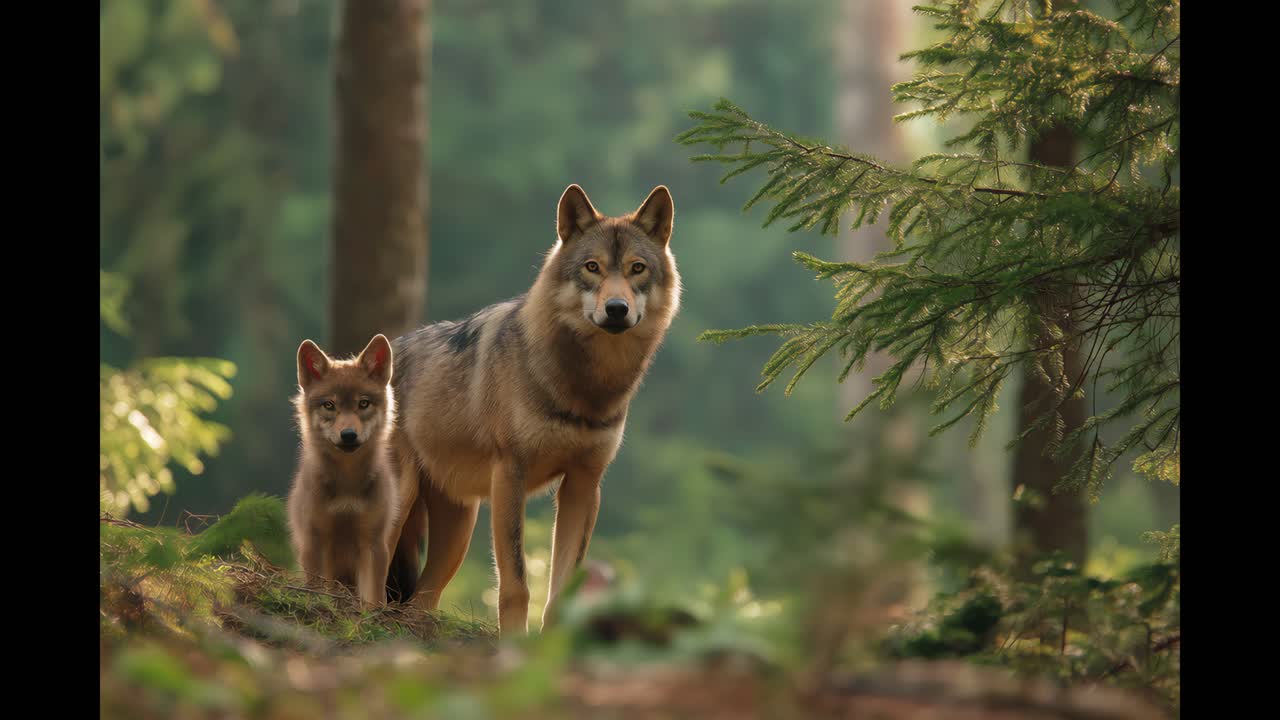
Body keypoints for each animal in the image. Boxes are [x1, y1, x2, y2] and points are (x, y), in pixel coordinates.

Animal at [286, 334, 398, 607]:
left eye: (363, 403)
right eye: (329, 405)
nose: (348, 435)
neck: (348, 484)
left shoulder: (374, 544)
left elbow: (374, 598)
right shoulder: (314, 542)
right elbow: (317, 590)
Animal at [384, 184, 680, 636]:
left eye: (637, 268)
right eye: (592, 267)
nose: (616, 308)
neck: (584, 388)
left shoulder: (584, 485)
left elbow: (562, 591)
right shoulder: (510, 475)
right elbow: (516, 585)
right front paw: (513, 643)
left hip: (458, 531)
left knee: (418, 600)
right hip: (400, 503)